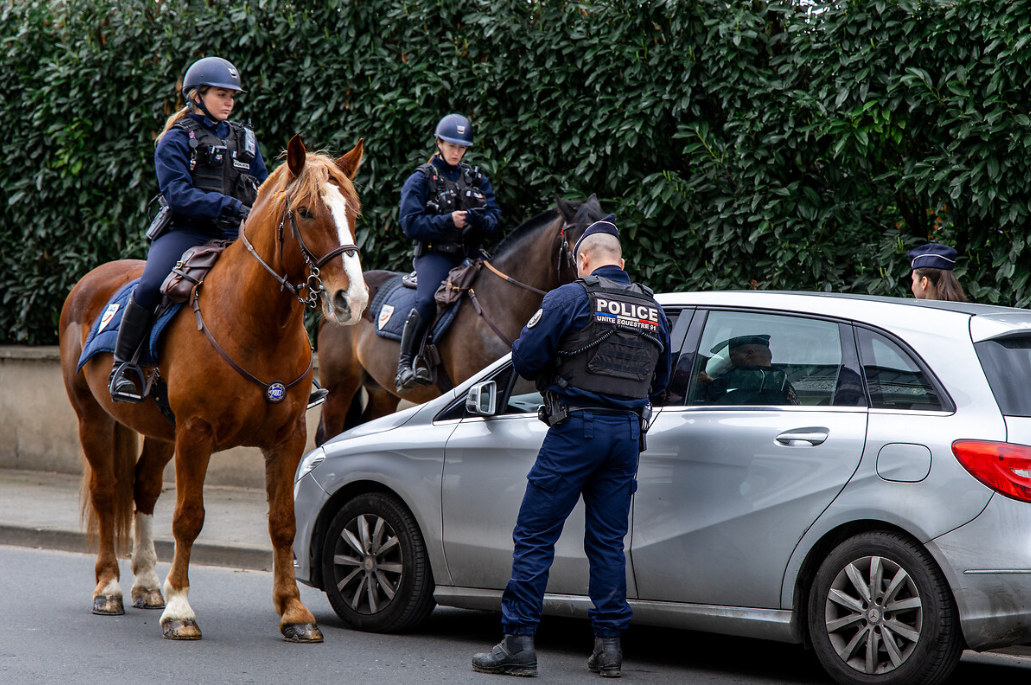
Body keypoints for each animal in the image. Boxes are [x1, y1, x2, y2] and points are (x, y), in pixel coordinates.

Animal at [58, 135, 369, 643]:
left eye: (353, 211)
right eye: (305, 212)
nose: (352, 299)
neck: (254, 324)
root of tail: (91, 279)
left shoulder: (287, 439)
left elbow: (283, 523)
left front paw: (294, 611)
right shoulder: (196, 433)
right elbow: (189, 517)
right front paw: (181, 610)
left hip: (160, 432)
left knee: (143, 488)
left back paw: (147, 582)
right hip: (94, 418)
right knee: (107, 492)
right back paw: (109, 587)